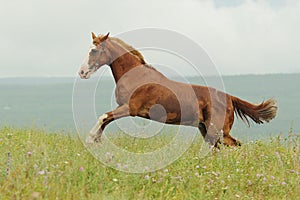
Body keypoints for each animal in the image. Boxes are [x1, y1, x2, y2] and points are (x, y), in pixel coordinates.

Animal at [78, 32, 278, 148]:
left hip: (218, 131)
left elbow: (104, 117)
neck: (136, 76)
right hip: (206, 130)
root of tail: (230, 97)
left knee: (236, 145)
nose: (82, 73)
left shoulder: (130, 108)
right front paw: (96, 140)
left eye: (94, 51)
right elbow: (106, 119)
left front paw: (90, 139)